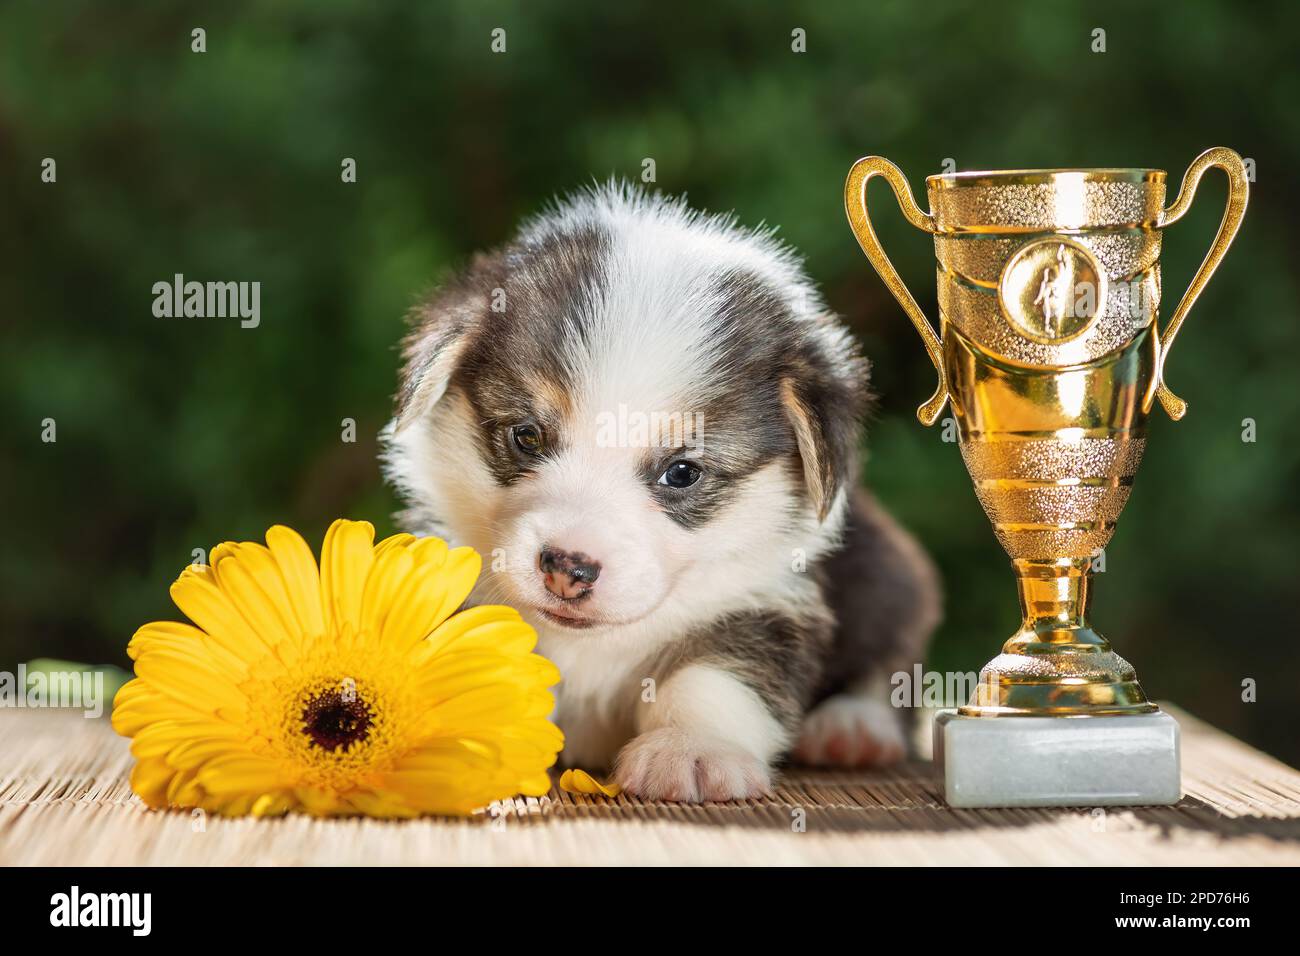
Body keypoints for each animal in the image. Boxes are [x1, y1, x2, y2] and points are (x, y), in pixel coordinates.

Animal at [379, 183, 941, 806]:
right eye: (526, 436)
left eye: (682, 472)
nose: (567, 569)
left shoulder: (766, 600)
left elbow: (712, 675)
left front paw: (691, 749)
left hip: (892, 576)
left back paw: (852, 728)